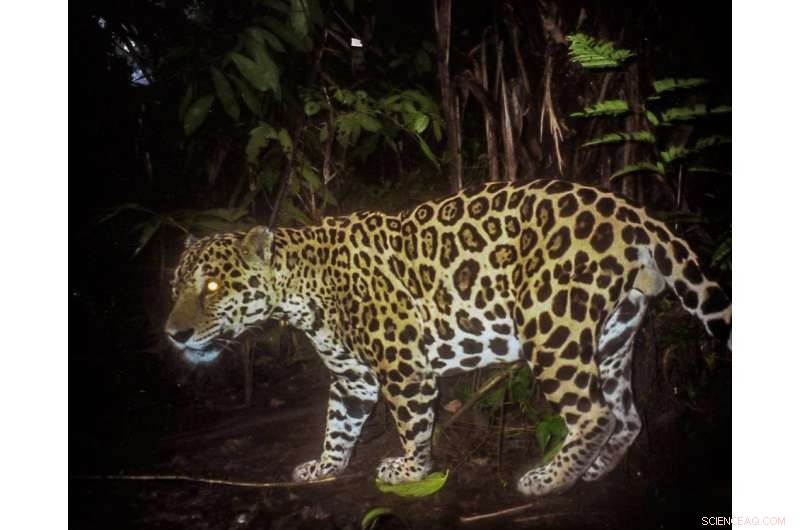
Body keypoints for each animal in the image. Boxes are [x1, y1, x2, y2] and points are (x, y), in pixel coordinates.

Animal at [165, 178, 731, 496]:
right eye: (175, 287)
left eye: (212, 286)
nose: (174, 334)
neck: (300, 288)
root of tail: (632, 212)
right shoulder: (352, 380)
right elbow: (338, 425)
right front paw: (326, 466)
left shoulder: (404, 368)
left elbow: (412, 425)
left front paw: (411, 471)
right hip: (613, 336)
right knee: (628, 414)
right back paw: (597, 470)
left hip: (552, 328)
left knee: (593, 413)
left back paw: (550, 481)